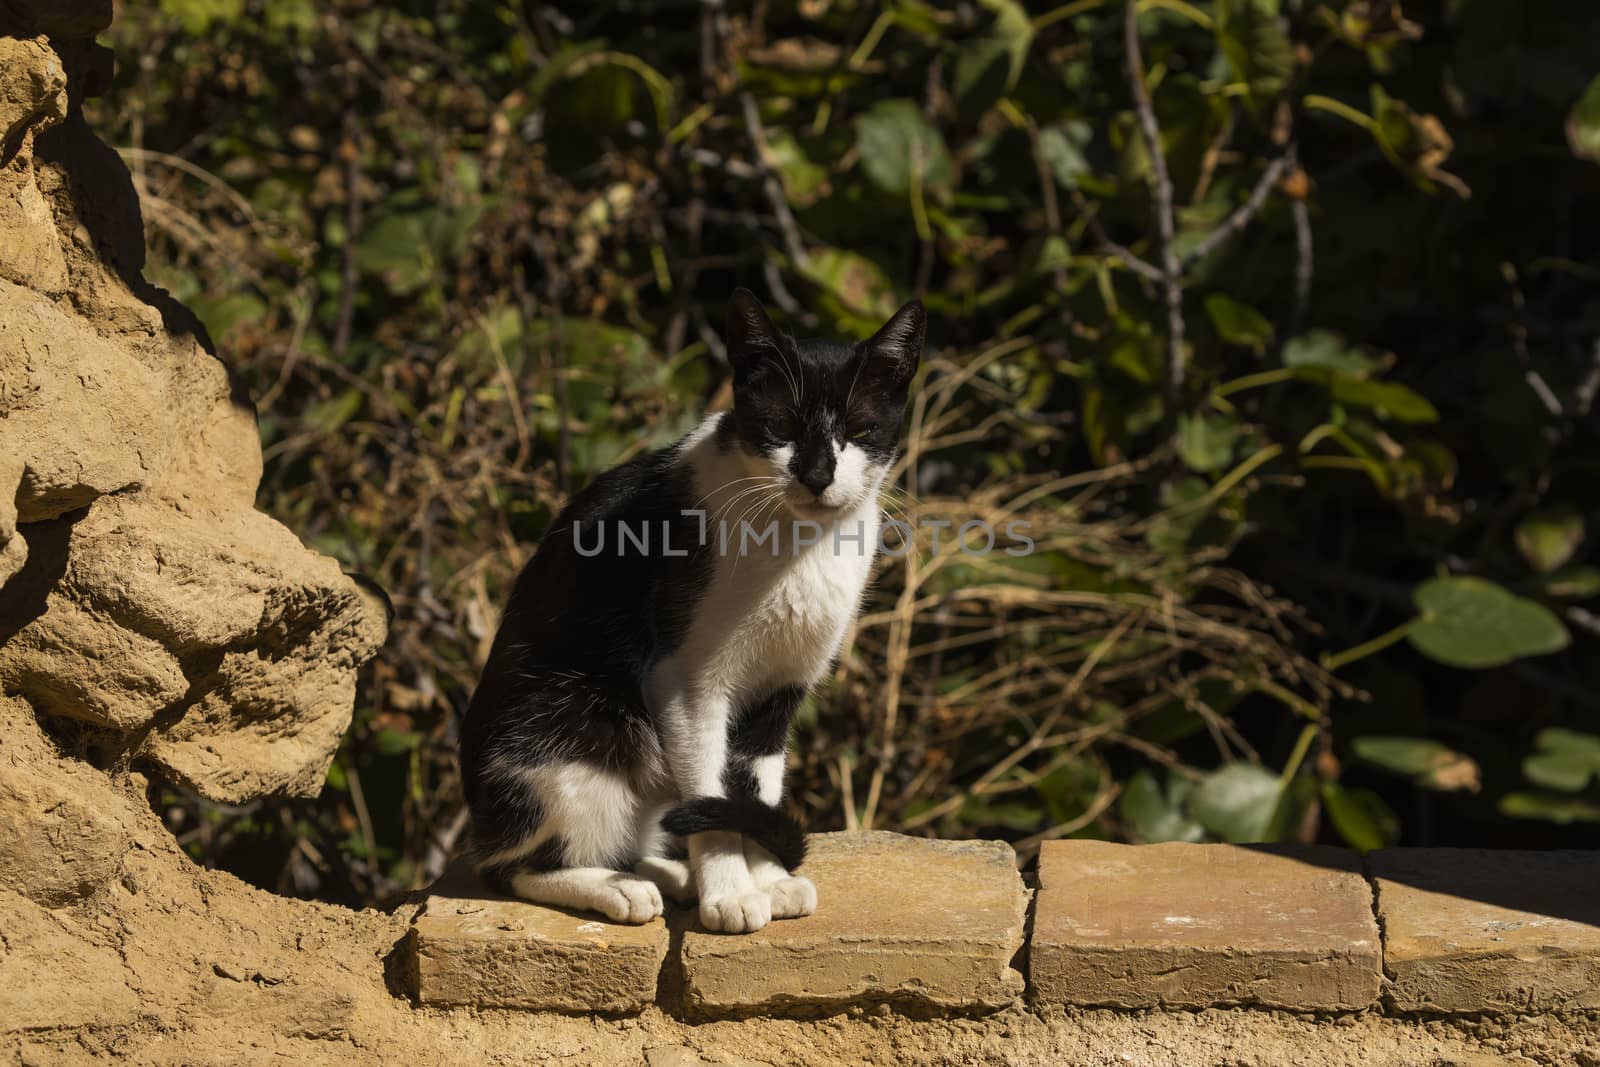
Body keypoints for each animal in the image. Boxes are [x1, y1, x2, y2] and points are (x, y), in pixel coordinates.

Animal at [457, 287, 921, 927]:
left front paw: (768, 881)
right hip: (576, 729)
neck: (799, 545)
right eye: (780, 426)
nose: (817, 474)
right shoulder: (685, 681)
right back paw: (619, 888)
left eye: (859, 429)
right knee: (513, 866)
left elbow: (753, 788)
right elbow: (710, 795)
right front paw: (731, 897)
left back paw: (666, 874)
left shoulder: (781, 686)